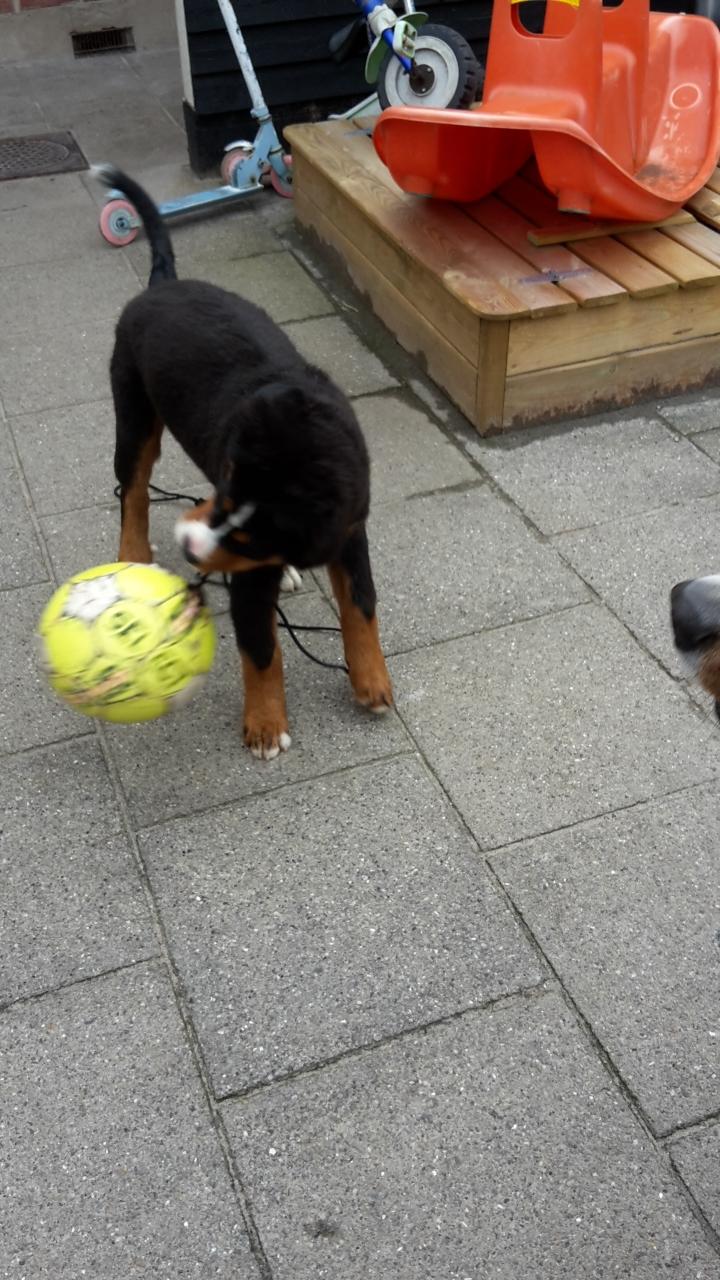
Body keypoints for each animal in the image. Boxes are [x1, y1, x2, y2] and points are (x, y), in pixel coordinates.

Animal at [94, 163, 392, 752]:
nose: (190, 548)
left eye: (254, 536)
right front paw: (266, 725)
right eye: (229, 491)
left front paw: (373, 682)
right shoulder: (252, 573)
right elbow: (260, 649)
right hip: (135, 414)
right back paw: (133, 551)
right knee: (134, 489)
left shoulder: (349, 532)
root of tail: (163, 283)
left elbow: (361, 606)